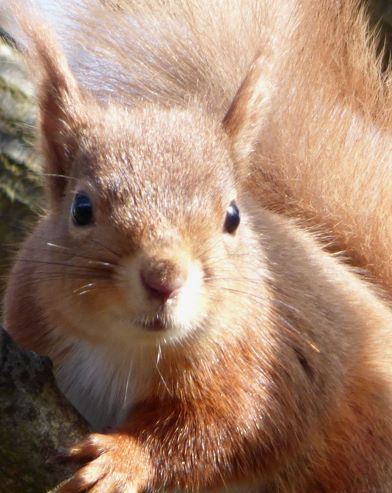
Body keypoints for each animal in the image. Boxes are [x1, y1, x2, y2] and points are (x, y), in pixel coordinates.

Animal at [3, 0, 392, 492]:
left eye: (233, 216)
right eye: (81, 207)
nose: (164, 279)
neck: (128, 349)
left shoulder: (265, 364)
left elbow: (217, 431)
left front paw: (120, 459)